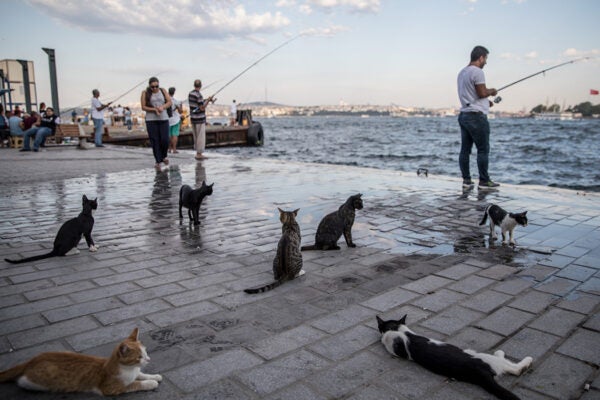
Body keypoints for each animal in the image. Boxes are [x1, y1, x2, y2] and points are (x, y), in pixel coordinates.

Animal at [0, 326, 162, 396]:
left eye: (145, 352)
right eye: (139, 357)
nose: (148, 359)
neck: (128, 369)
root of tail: (32, 360)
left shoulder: (135, 372)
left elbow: (141, 374)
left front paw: (155, 376)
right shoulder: (111, 387)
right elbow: (135, 384)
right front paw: (151, 383)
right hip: (37, 381)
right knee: (23, 381)